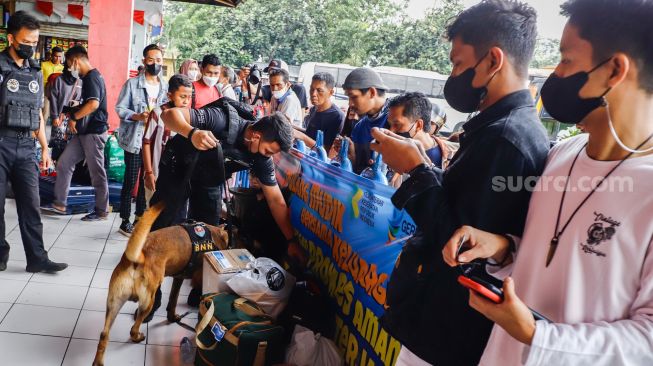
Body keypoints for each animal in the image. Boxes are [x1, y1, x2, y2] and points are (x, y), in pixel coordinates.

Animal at [92, 203, 227, 366]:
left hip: (113, 304)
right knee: (133, 328)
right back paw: (137, 337)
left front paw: (172, 316)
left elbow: (173, 300)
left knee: (104, 334)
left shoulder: (178, 278)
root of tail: (139, 256)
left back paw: (98, 361)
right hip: (147, 302)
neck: (212, 234)